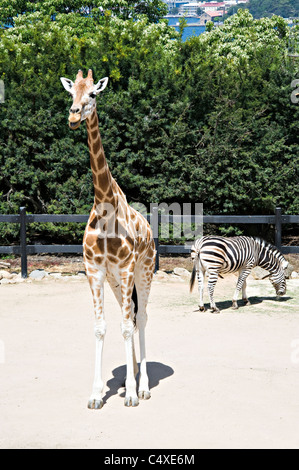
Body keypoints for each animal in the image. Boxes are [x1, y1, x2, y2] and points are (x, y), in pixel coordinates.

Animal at [59, 70, 156, 408]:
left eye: (93, 95)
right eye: (71, 93)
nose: (74, 116)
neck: (104, 202)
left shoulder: (126, 270)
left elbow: (127, 326)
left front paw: (132, 394)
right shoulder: (95, 271)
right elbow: (101, 328)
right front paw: (96, 394)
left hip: (143, 272)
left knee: (141, 319)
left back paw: (142, 386)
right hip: (116, 281)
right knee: (130, 318)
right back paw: (127, 382)